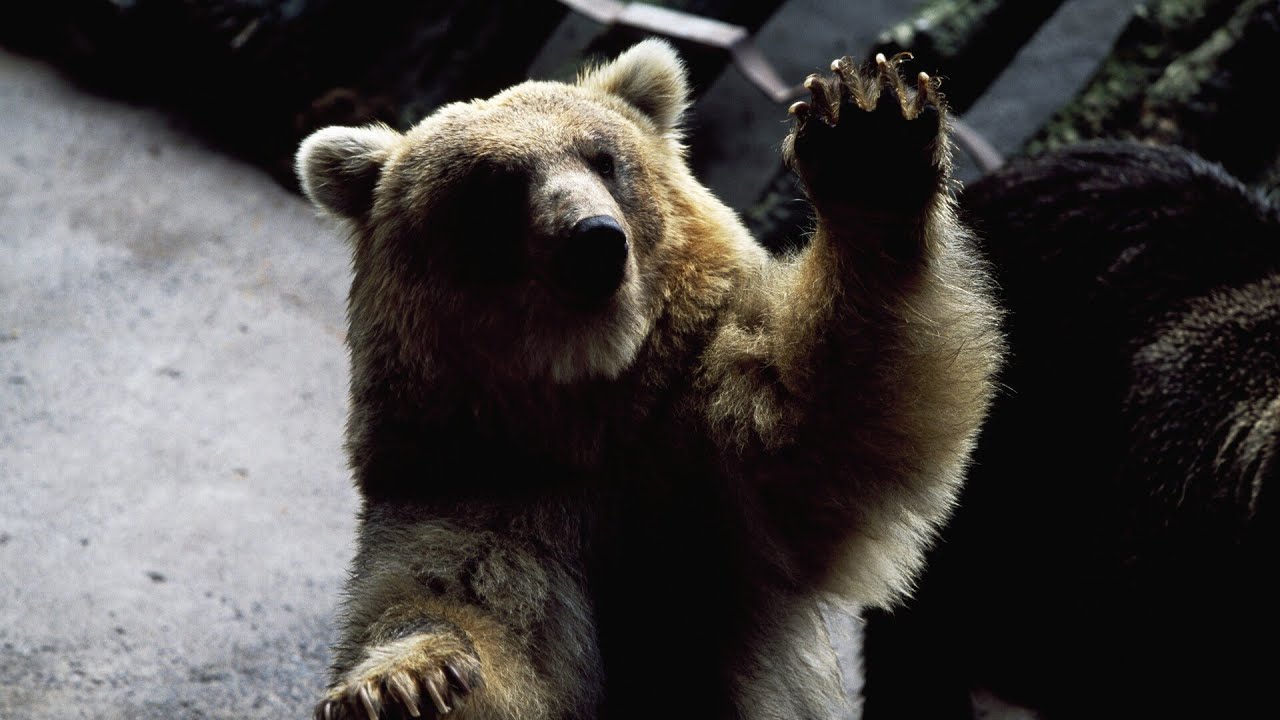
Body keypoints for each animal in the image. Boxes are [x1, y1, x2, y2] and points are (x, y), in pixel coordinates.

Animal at [295, 39, 1002, 720]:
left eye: (603, 159)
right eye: (497, 185)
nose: (594, 240)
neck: (594, 408)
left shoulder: (713, 466)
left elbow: (832, 413)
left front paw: (869, 137)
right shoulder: (476, 486)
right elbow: (465, 607)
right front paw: (401, 684)